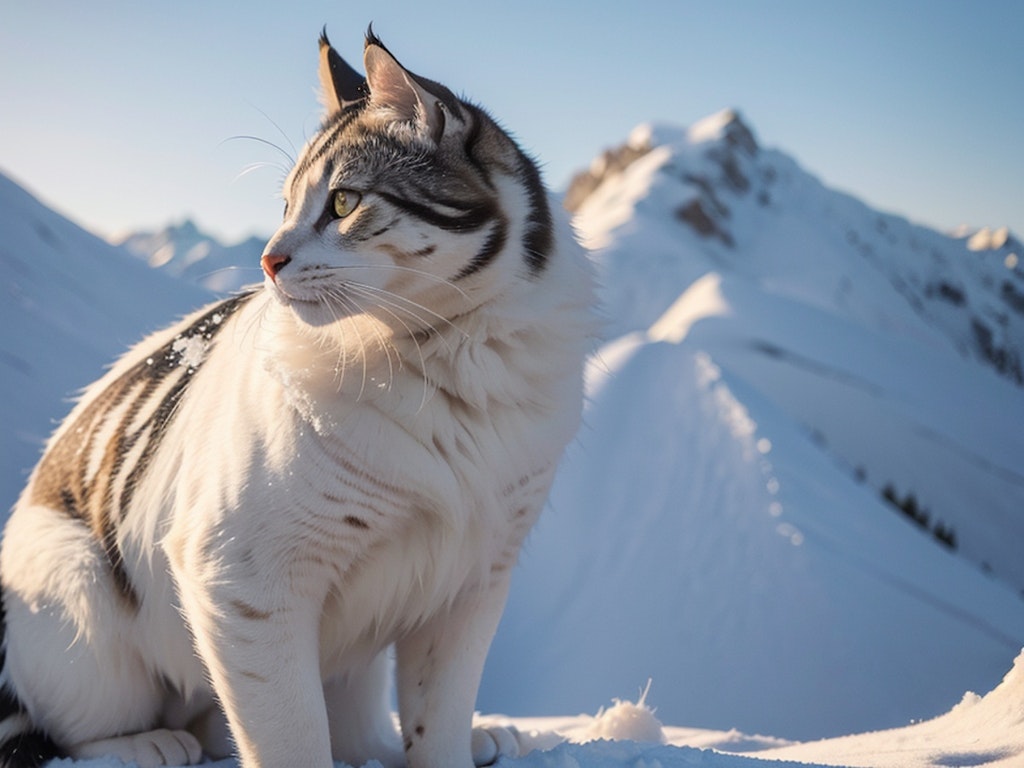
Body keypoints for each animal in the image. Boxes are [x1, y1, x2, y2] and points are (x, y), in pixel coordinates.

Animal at [0, 24, 593, 768]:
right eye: (284, 207)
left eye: (343, 202)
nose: (267, 259)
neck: (448, 359)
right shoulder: (246, 580)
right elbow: (292, 736)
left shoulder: (473, 581)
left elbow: (438, 719)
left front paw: (458, 739)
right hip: (79, 596)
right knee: (67, 733)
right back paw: (148, 743)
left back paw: (483, 736)